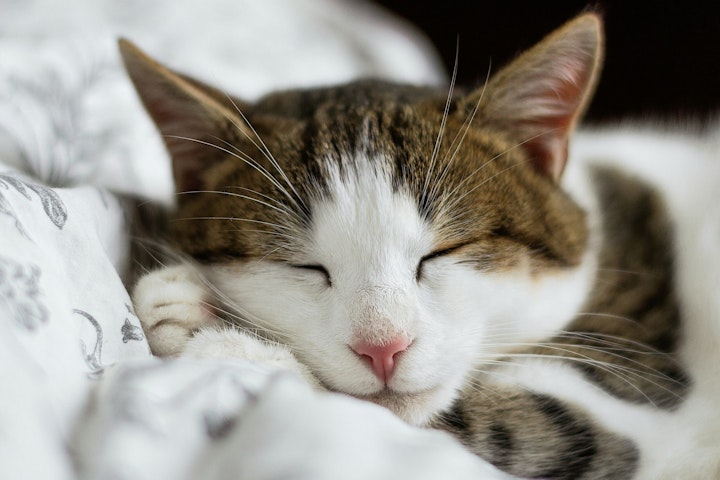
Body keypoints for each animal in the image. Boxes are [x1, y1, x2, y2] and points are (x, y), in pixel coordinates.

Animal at [122, 12, 720, 480]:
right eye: (303, 265)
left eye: (443, 253)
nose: (383, 348)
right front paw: (187, 301)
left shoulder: (643, 400)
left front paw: (233, 345)